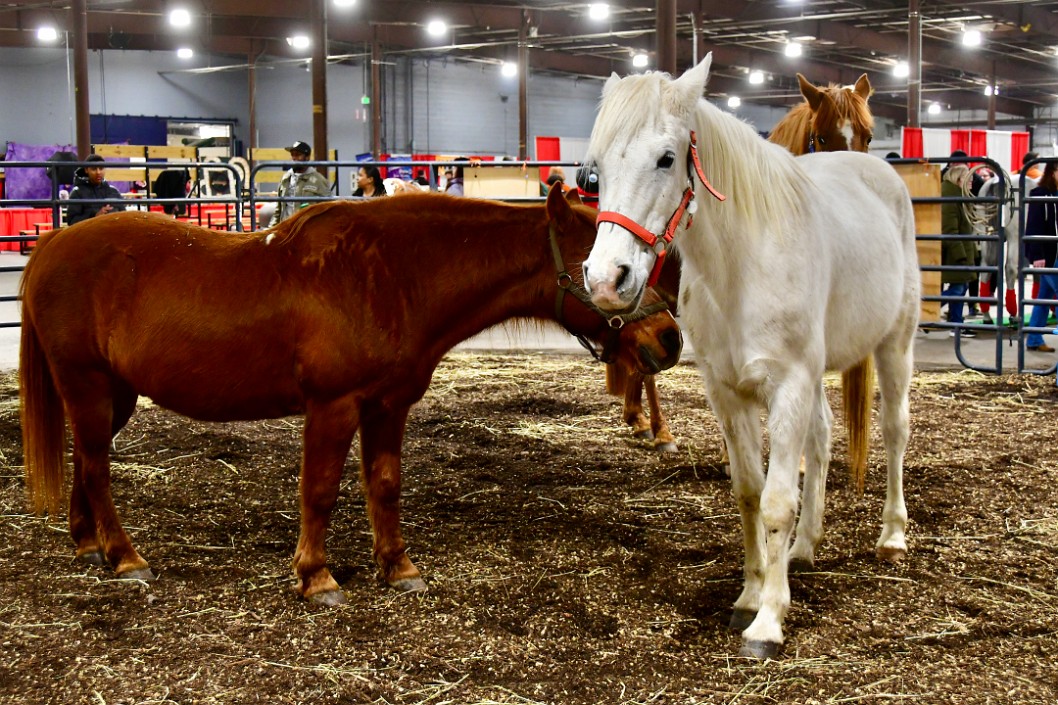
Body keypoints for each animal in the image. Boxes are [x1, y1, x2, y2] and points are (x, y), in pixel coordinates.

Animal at [20, 188, 681, 605]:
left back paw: (90, 545)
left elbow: (383, 487)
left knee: (86, 462)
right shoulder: (332, 408)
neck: (389, 277)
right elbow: (319, 491)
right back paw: (126, 557)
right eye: (606, 268)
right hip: (87, 385)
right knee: (97, 470)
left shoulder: (388, 406)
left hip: (115, 396)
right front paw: (316, 578)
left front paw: (399, 568)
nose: (669, 339)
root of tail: (51, 247)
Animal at [579, 56, 918, 660]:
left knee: (895, 429)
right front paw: (751, 594)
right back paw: (805, 548)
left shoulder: (789, 387)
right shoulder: (727, 392)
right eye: (595, 171)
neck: (741, 267)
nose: (606, 280)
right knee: (822, 439)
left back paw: (892, 537)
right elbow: (750, 494)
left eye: (667, 158)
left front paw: (768, 622)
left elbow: (779, 500)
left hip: (894, 344)